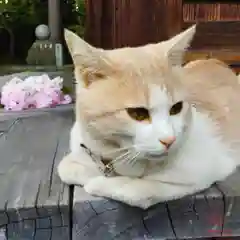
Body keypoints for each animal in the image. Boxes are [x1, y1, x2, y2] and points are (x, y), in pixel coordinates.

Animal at [58, 24, 240, 208]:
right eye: (138, 113)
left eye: (176, 108)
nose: (169, 140)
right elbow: (65, 167)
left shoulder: (201, 172)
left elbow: (140, 191)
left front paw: (102, 183)